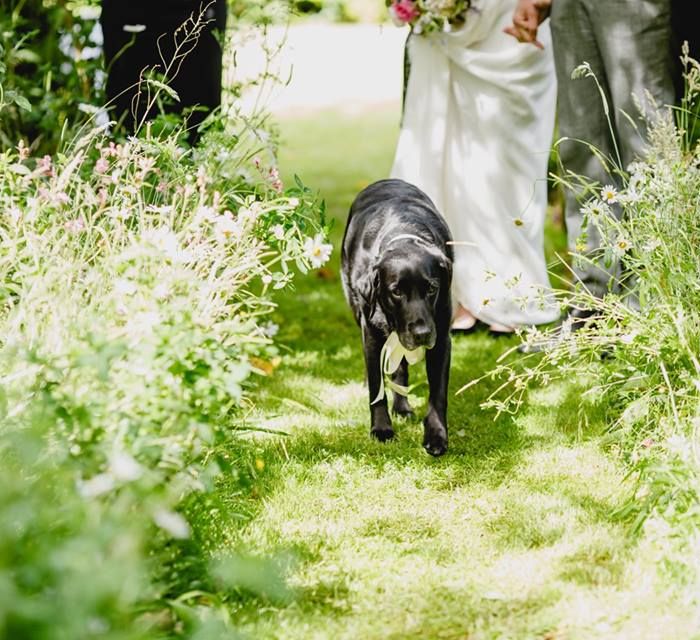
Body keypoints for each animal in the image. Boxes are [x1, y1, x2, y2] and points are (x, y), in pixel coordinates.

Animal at [344, 179, 454, 456]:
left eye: (432, 288)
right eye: (396, 291)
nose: (422, 334)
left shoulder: (441, 337)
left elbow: (438, 393)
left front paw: (436, 435)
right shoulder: (371, 333)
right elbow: (376, 385)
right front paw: (381, 428)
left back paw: (402, 406)